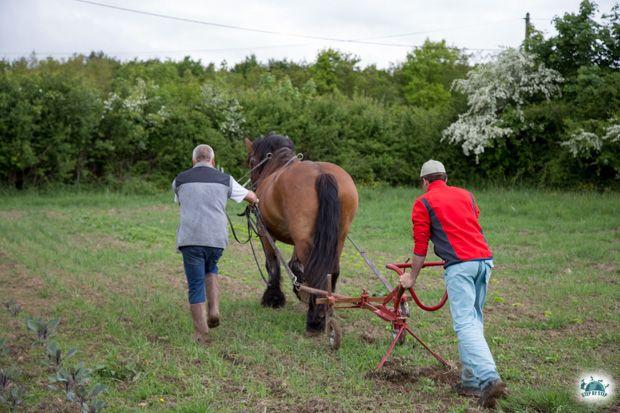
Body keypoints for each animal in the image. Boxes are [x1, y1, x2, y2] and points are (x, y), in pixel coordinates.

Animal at [243, 134, 358, 334]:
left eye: (251, 160)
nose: (253, 186)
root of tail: (321, 173)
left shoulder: (266, 233)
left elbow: (272, 264)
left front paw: (273, 298)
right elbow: (295, 264)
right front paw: (299, 291)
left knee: (315, 272)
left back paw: (315, 320)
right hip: (337, 239)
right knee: (332, 270)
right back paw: (327, 309)